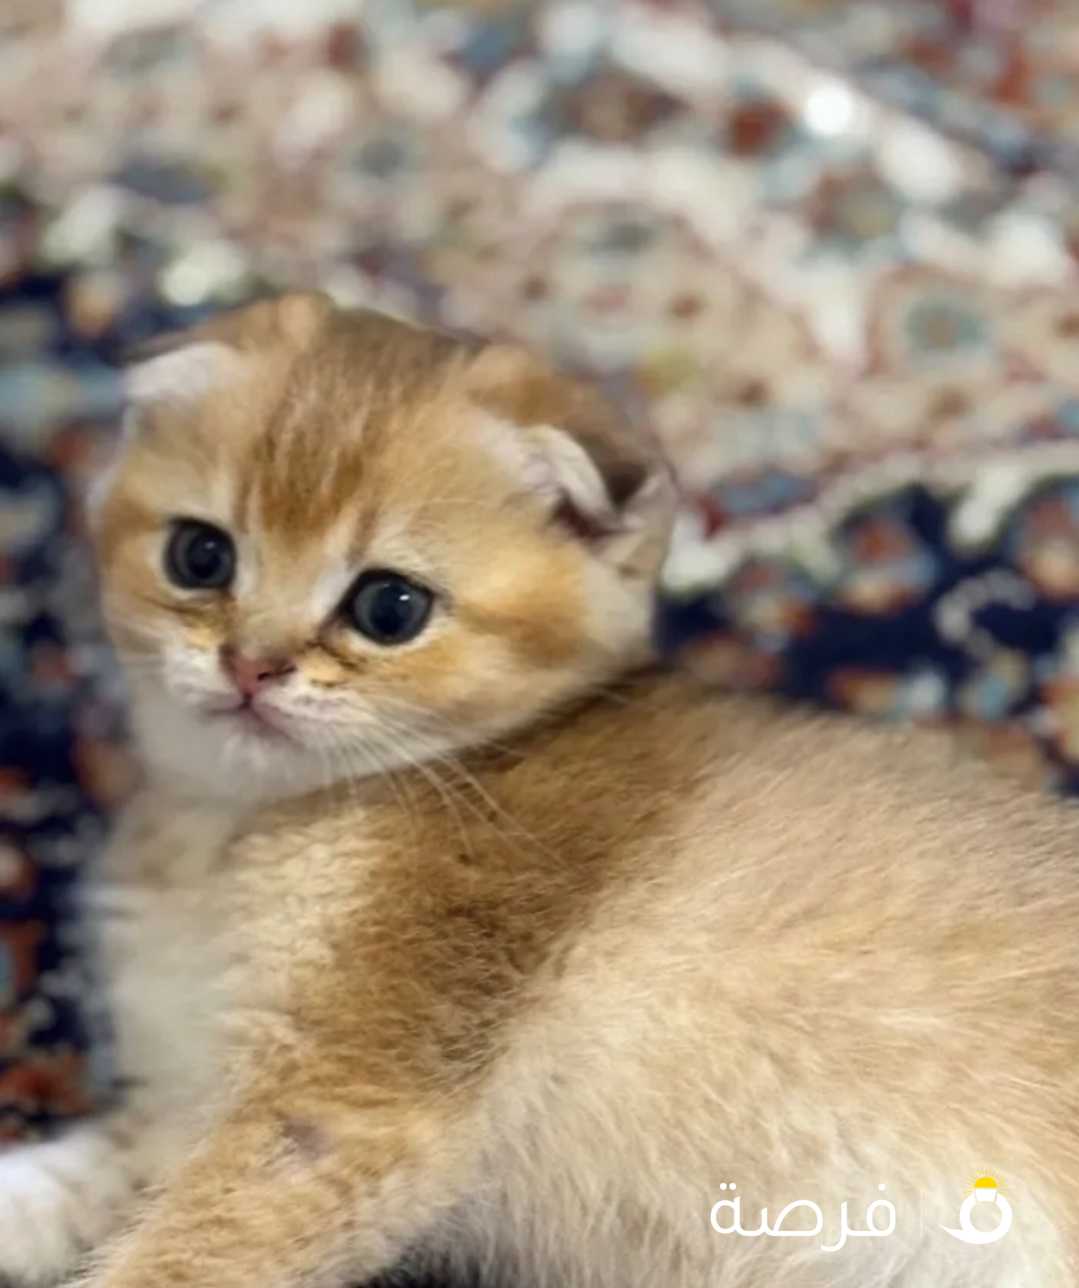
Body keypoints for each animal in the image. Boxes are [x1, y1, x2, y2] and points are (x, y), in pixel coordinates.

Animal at [1, 290, 1078, 1288]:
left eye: (389, 607)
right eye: (200, 555)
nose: (250, 665)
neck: (229, 833)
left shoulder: (340, 1107)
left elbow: (179, 1256)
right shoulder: (174, 1116)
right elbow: (63, 1191)